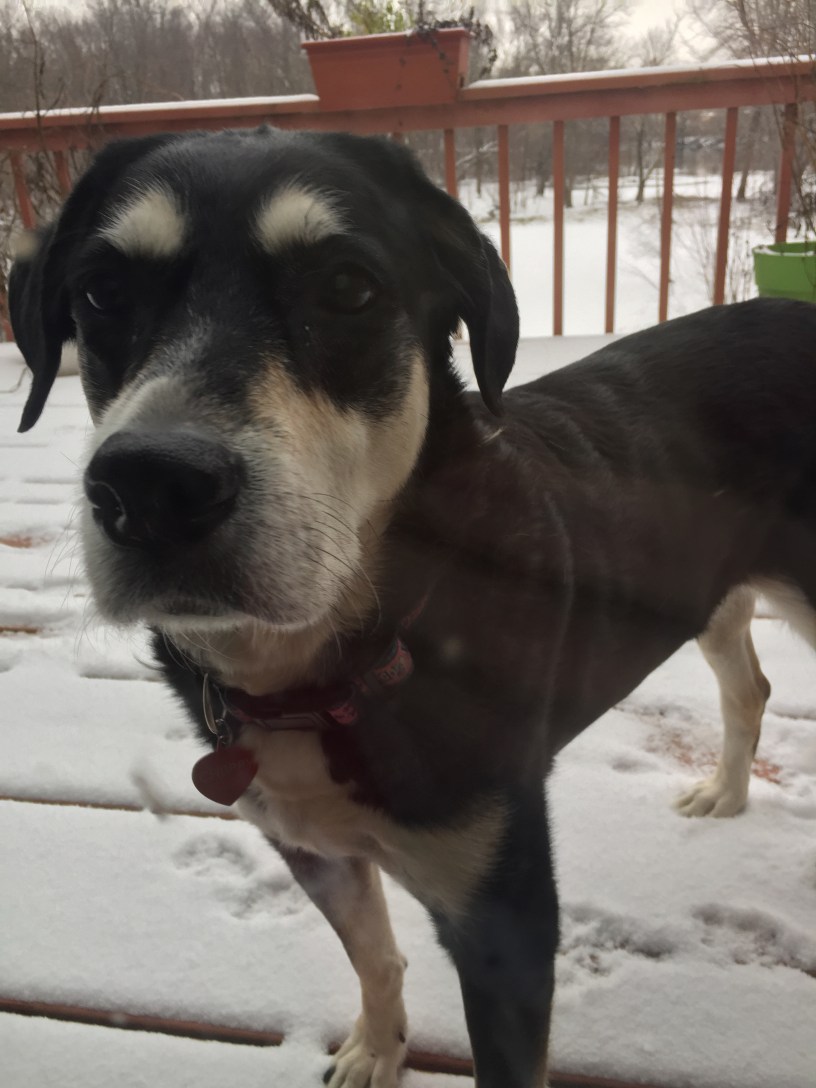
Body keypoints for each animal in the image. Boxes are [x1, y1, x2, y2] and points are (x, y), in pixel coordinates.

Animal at [10, 126, 816, 1088]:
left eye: (348, 286)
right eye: (100, 291)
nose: (151, 487)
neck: (330, 669)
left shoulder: (503, 915)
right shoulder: (309, 845)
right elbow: (373, 956)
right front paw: (376, 1048)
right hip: (710, 588)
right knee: (747, 687)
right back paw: (725, 792)